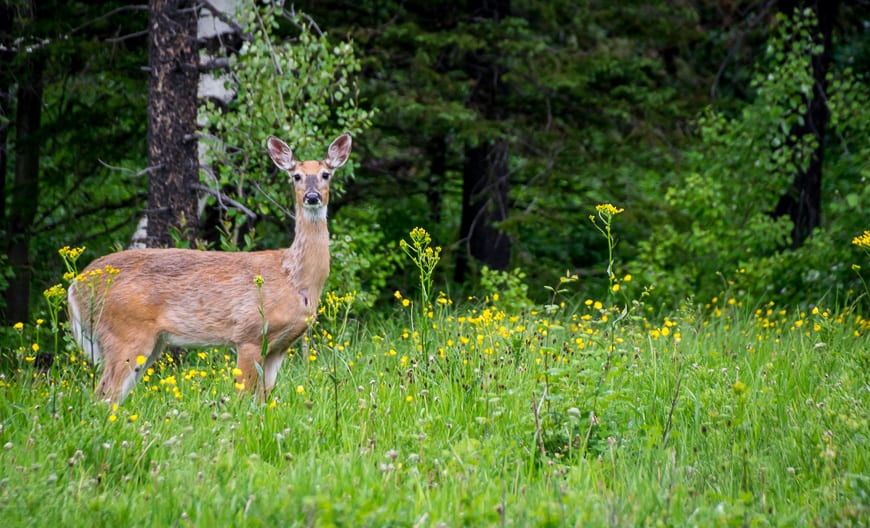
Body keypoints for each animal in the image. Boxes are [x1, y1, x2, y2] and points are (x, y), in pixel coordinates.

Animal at [68, 133, 352, 404]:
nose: (312, 196)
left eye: (326, 174)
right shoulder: (247, 334)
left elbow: (263, 401)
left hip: (150, 343)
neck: (294, 278)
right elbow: (242, 399)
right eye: (296, 176)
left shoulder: (279, 346)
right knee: (104, 396)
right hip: (124, 333)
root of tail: (75, 285)